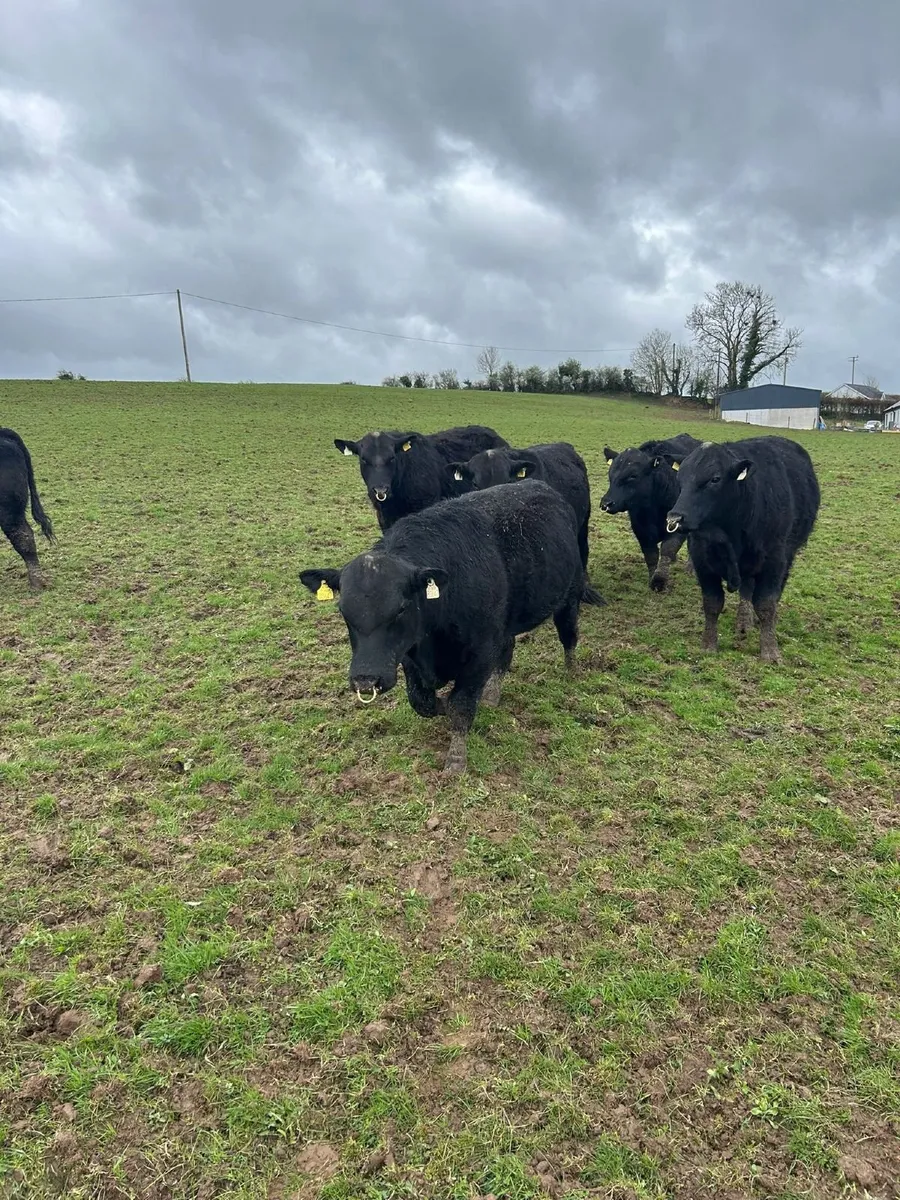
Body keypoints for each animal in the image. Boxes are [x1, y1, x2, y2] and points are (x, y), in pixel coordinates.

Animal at [300, 479, 584, 773]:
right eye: (343, 610)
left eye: (401, 608)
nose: (365, 680)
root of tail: (541, 485)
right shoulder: (409, 654)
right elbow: (421, 701)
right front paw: (443, 706)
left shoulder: (480, 653)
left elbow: (461, 705)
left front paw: (456, 759)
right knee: (508, 649)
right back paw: (492, 695)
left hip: (570, 593)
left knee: (568, 634)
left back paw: (571, 671)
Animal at [600, 433, 703, 591]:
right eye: (610, 474)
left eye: (633, 475)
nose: (606, 504)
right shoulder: (640, 529)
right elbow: (651, 555)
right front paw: (652, 578)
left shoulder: (677, 528)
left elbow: (667, 549)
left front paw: (660, 580)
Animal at [664, 436, 820, 662]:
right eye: (680, 478)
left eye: (715, 479)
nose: (675, 517)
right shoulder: (702, 563)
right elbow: (712, 603)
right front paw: (708, 645)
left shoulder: (774, 562)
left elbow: (766, 604)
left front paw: (770, 651)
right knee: (746, 590)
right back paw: (744, 621)